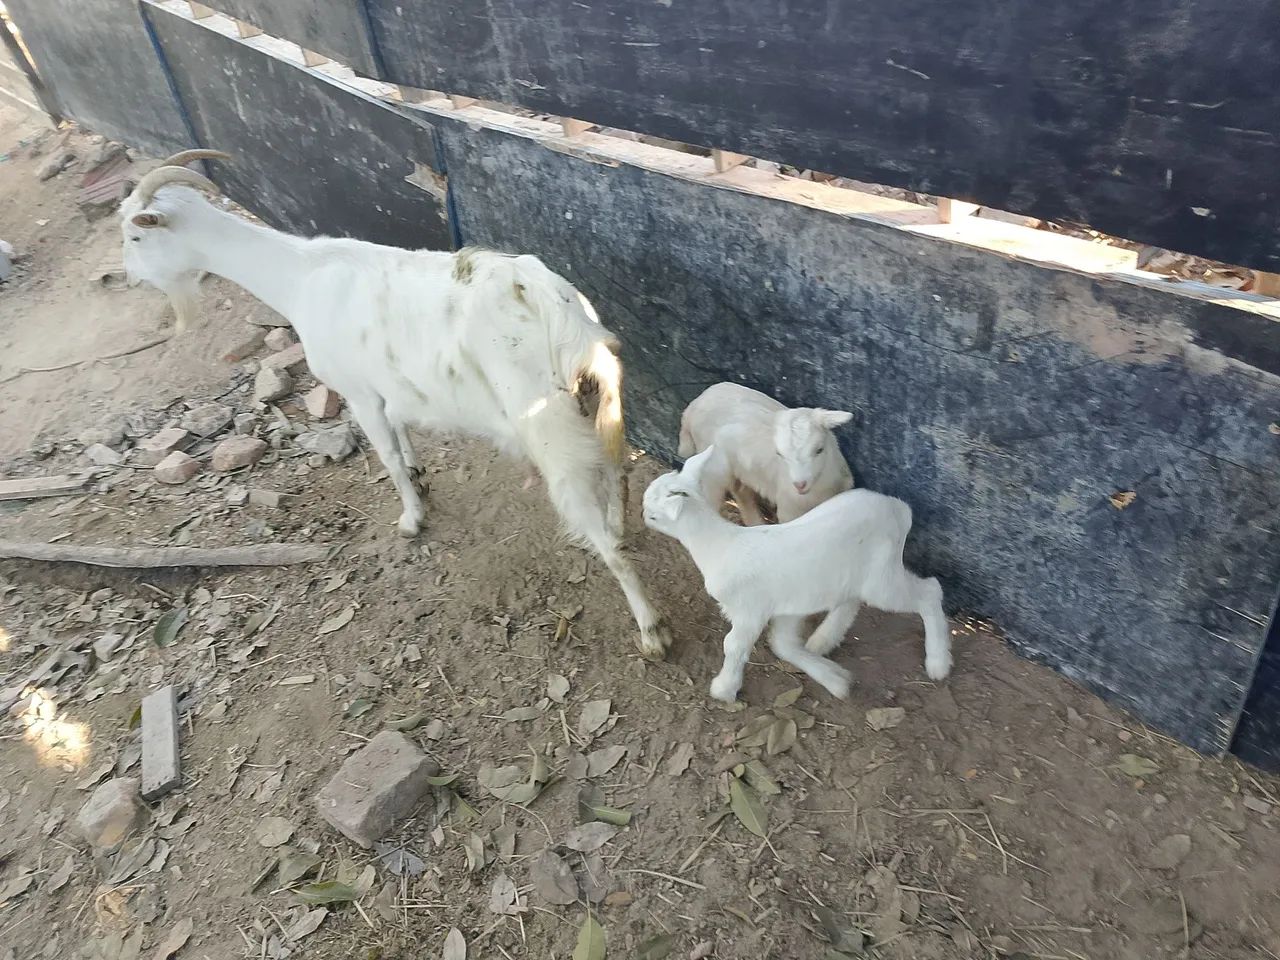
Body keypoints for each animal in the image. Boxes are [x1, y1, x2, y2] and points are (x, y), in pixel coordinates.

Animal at [120, 150, 671, 657]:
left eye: (135, 237)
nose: (128, 278)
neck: (300, 277)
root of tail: (554, 308)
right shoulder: (389, 387)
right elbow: (401, 431)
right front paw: (418, 472)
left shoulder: (358, 391)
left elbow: (384, 455)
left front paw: (411, 519)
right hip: (600, 407)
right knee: (618, 472)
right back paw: (621, 529)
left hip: (550, 432)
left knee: (605, 535)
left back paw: (651, 629)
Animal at [643, 447, 951, 701]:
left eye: (655, 515)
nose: (643, 515)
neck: (719, 544)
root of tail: (899, 509)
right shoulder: (789, 606)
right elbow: (784, 645)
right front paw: (835, 679)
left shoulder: (750, 610)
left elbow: (734, 646)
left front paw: (724, 689)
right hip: (854, 573)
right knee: (851, 601)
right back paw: (823, 640)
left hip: (882, 578)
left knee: (930, 591)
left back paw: (938, 662)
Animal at [678, 382, 854, 524]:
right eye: (780, 454)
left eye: (819, 449)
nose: (800, 485)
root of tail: (693, 405)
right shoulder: (789, 509)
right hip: (712, 465)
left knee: (741, 491)